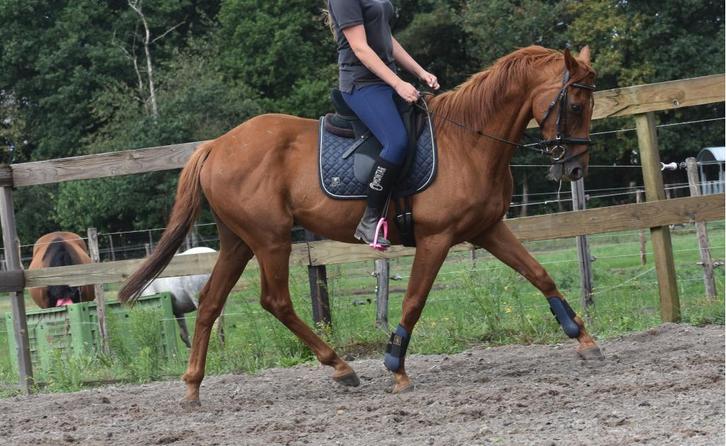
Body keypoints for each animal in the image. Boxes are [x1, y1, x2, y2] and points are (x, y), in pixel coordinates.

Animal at [119, 45, 602, 405]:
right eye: (576, 104)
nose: (576, 169)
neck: (469, 140)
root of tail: (216, 145)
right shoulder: (437, 238)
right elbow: (414, 301)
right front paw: (396, 368)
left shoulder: (487, 229)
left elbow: (539, 274)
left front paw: (583, 338)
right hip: (270, 239)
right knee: (275, 300)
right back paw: (341, 367)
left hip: (238, 241)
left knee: (210, 303)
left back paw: (192, 387)